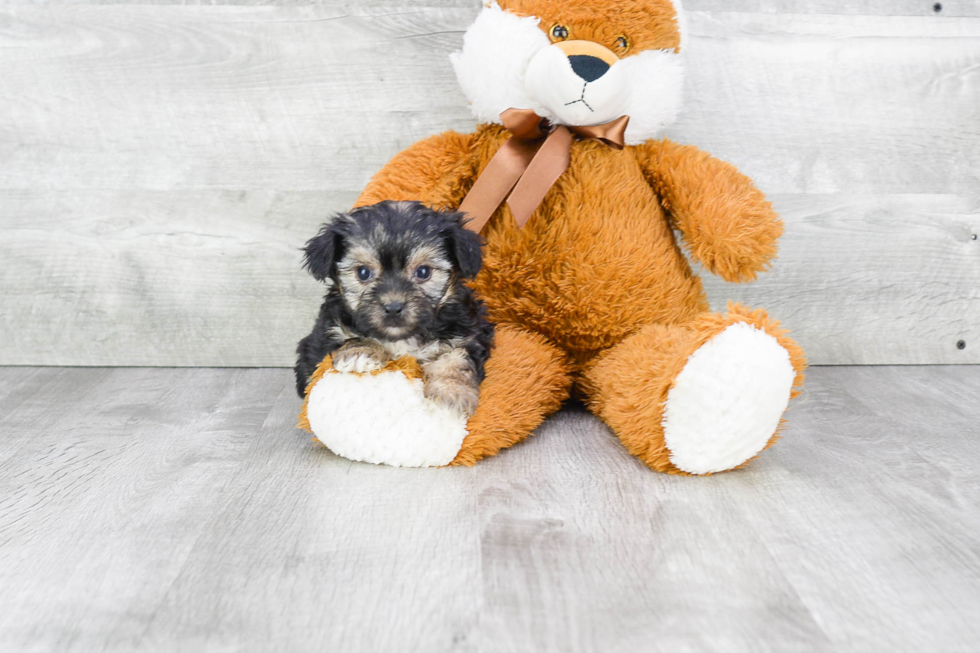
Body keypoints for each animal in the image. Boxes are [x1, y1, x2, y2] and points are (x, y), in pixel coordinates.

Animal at [292, 199, 494, 418]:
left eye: (423, 272)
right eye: (363, 272)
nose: (393, 307)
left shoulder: (466, 333)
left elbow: (456, 359)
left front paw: (452, 393)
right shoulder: (329, 330)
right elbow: (349, 337)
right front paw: (360, 352)